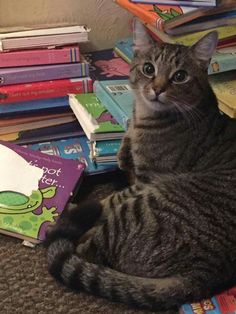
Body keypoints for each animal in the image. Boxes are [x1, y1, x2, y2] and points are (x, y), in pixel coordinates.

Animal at [44, 19, 236, 312]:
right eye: (149, 69)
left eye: (180, 76)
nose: (157, 89)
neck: (145, 116)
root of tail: (201, 276)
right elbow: (126, 143)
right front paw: (123, 151)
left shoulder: (149, 179)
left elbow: (111, 199)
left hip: (144, 207)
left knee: (87, 247)